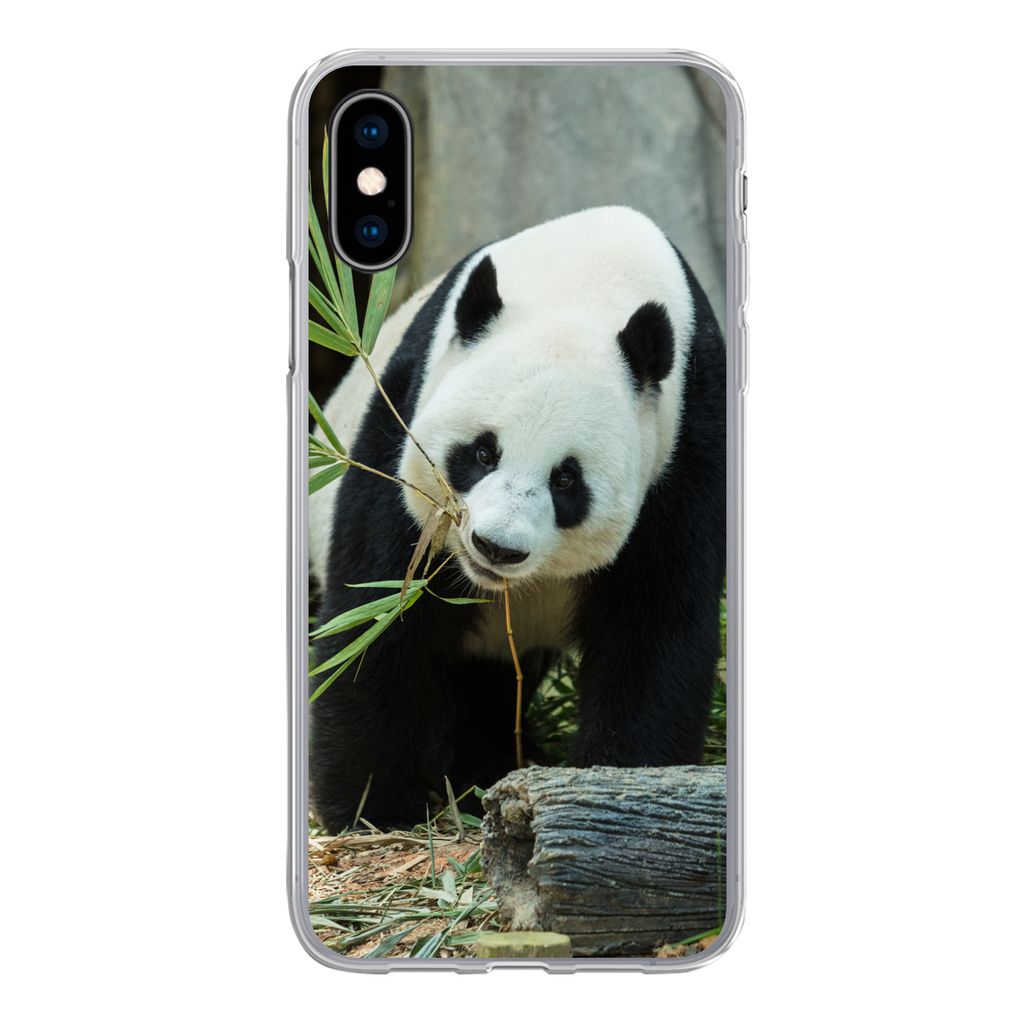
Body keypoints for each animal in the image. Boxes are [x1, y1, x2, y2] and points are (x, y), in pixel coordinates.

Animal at [309, 206, 726, 833]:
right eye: (483, 452)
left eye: (566, 480)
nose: (496, 547)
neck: (586, 280)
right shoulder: (404, 420)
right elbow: (379, 617)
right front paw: (374, 809)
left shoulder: (683, 453)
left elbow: (654, 632)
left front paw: (621, 786)